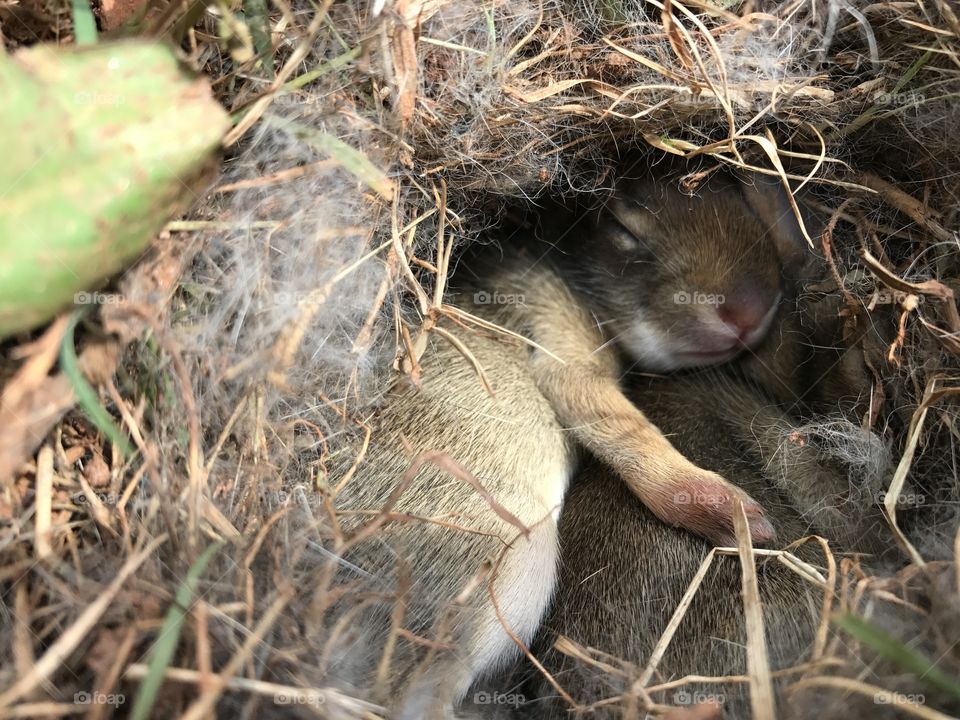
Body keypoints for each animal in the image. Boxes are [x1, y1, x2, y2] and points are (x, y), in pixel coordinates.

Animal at [320, 166, 808, 716]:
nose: (748, 312)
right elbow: (623, 428)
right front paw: (725, 511)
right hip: (513, 564)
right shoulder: (561, 347)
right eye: (620, 226)